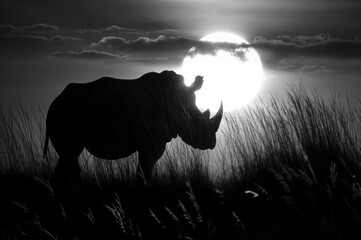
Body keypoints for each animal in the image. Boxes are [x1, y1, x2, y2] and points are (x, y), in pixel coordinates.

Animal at [43, 71, 222, 184]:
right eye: (197, 121)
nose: (211, 142)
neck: (173, 99)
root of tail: (54, 101)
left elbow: (145, 172)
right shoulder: (149, 144)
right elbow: (143, 173)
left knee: (70, 157)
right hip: (64, 113)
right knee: (69, 154)